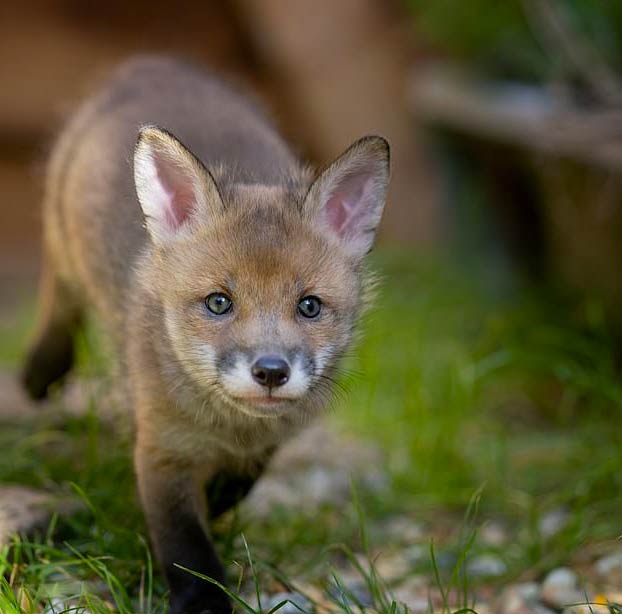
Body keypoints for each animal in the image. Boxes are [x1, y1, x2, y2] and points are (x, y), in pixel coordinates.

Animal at [22, 55, 392, 612]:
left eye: (309, 306)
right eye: (219, 302)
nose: (270, 372)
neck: (229, 427)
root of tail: (157, 64)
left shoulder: (264, 445)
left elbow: (230, 489)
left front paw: (218, 509)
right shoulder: (161, 447)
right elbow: (184, 541)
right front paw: (202, 597)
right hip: (61, 243)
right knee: (57, 298)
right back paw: (41, 370)